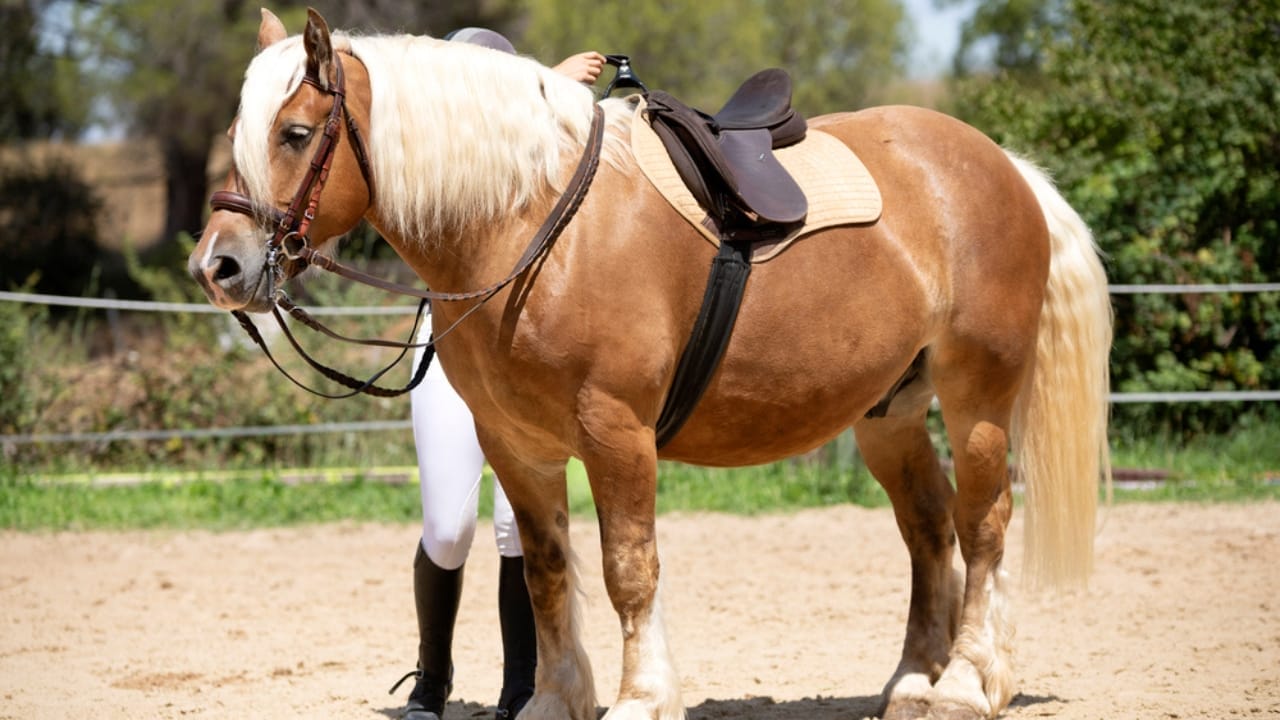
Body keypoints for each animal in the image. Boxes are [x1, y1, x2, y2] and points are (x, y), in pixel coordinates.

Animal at [188, 9, 1112, 720]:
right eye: (237, 136)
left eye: (295, 133)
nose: (218, 266)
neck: (530, 224)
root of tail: (1003, 167)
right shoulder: (516, 444)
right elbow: (548, 572)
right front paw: (552, 700)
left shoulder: (616, 432)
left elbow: (628, 569)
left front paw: (641, 697)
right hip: (889, 414)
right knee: (927, 530)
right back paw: (913, 681)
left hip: (978, 399)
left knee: (982, 527)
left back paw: (964, 685)